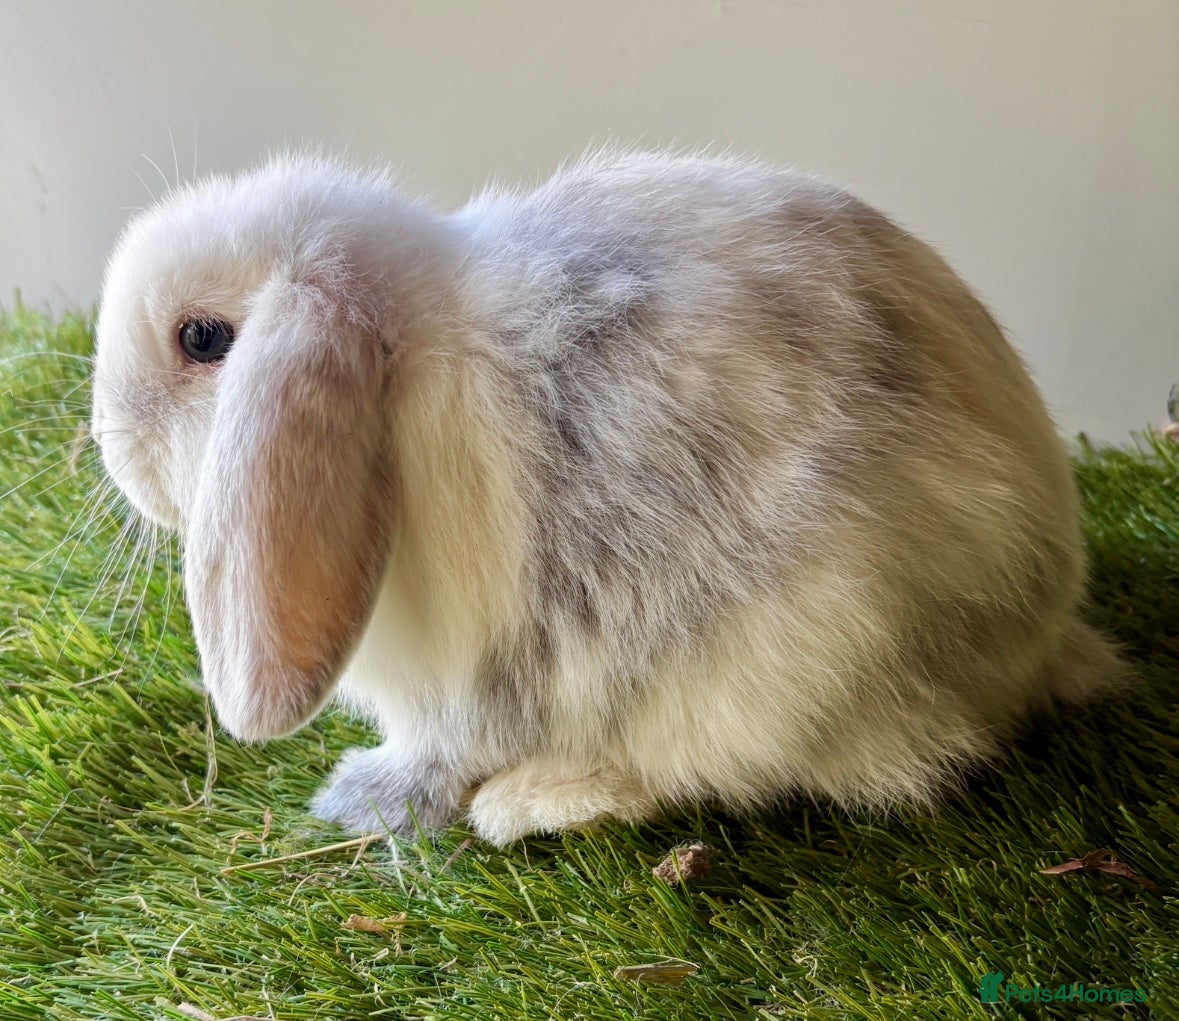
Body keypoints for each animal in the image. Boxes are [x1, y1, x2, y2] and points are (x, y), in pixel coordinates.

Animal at [91, 149, 1121, 845]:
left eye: (204, 339)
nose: (107, 442)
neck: (404, 373)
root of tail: (1035, 635)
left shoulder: (475, 672)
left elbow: (442, 746)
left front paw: (366, 797)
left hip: (789, 650)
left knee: (702, 771)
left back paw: (531, 802)